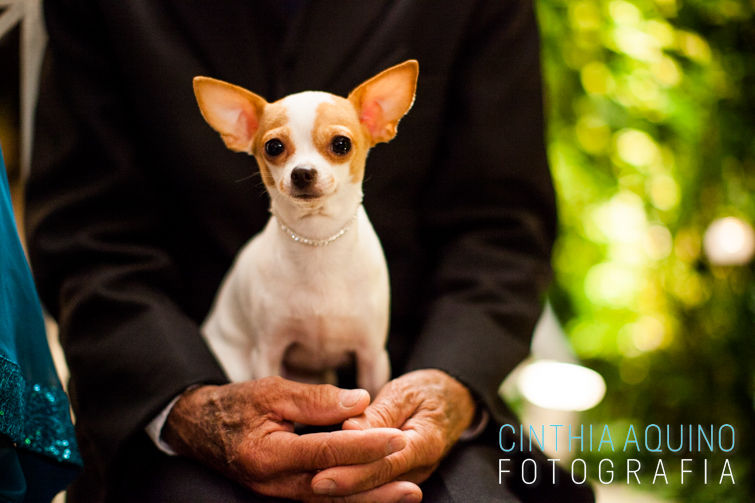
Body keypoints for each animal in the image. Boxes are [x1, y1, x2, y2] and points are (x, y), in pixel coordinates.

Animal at [193, 60, 420, 398]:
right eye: (273, 147)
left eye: (341, 144)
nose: (302, 173)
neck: (318, 239)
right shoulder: (268, 353)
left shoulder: (372, 356)